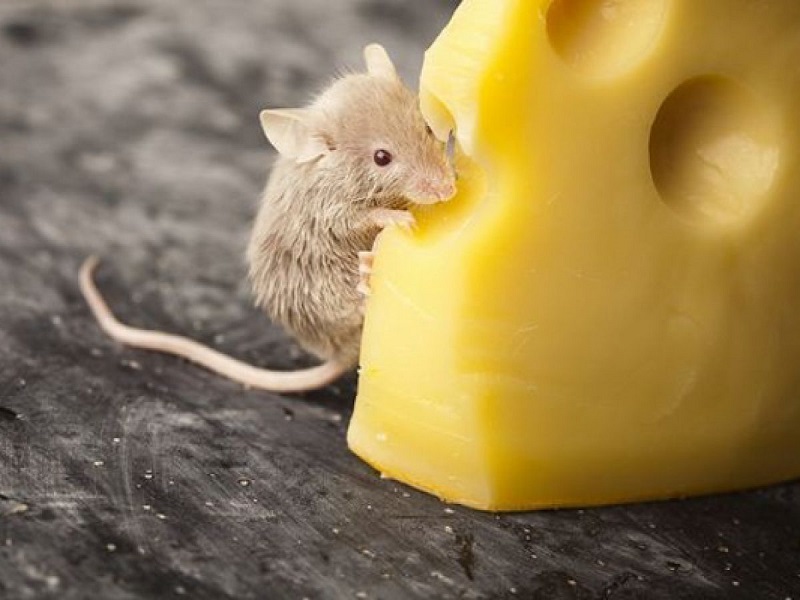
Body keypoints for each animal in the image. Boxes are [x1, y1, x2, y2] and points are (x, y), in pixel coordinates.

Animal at [80, 44, 456, 393]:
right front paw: (397, 217)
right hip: (324, 286)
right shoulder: (330, 210)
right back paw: (365, 273)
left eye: (426, 126)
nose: (448, 189)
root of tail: (339, 353)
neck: (333, 171)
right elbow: (362, 216)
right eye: (381, 157)